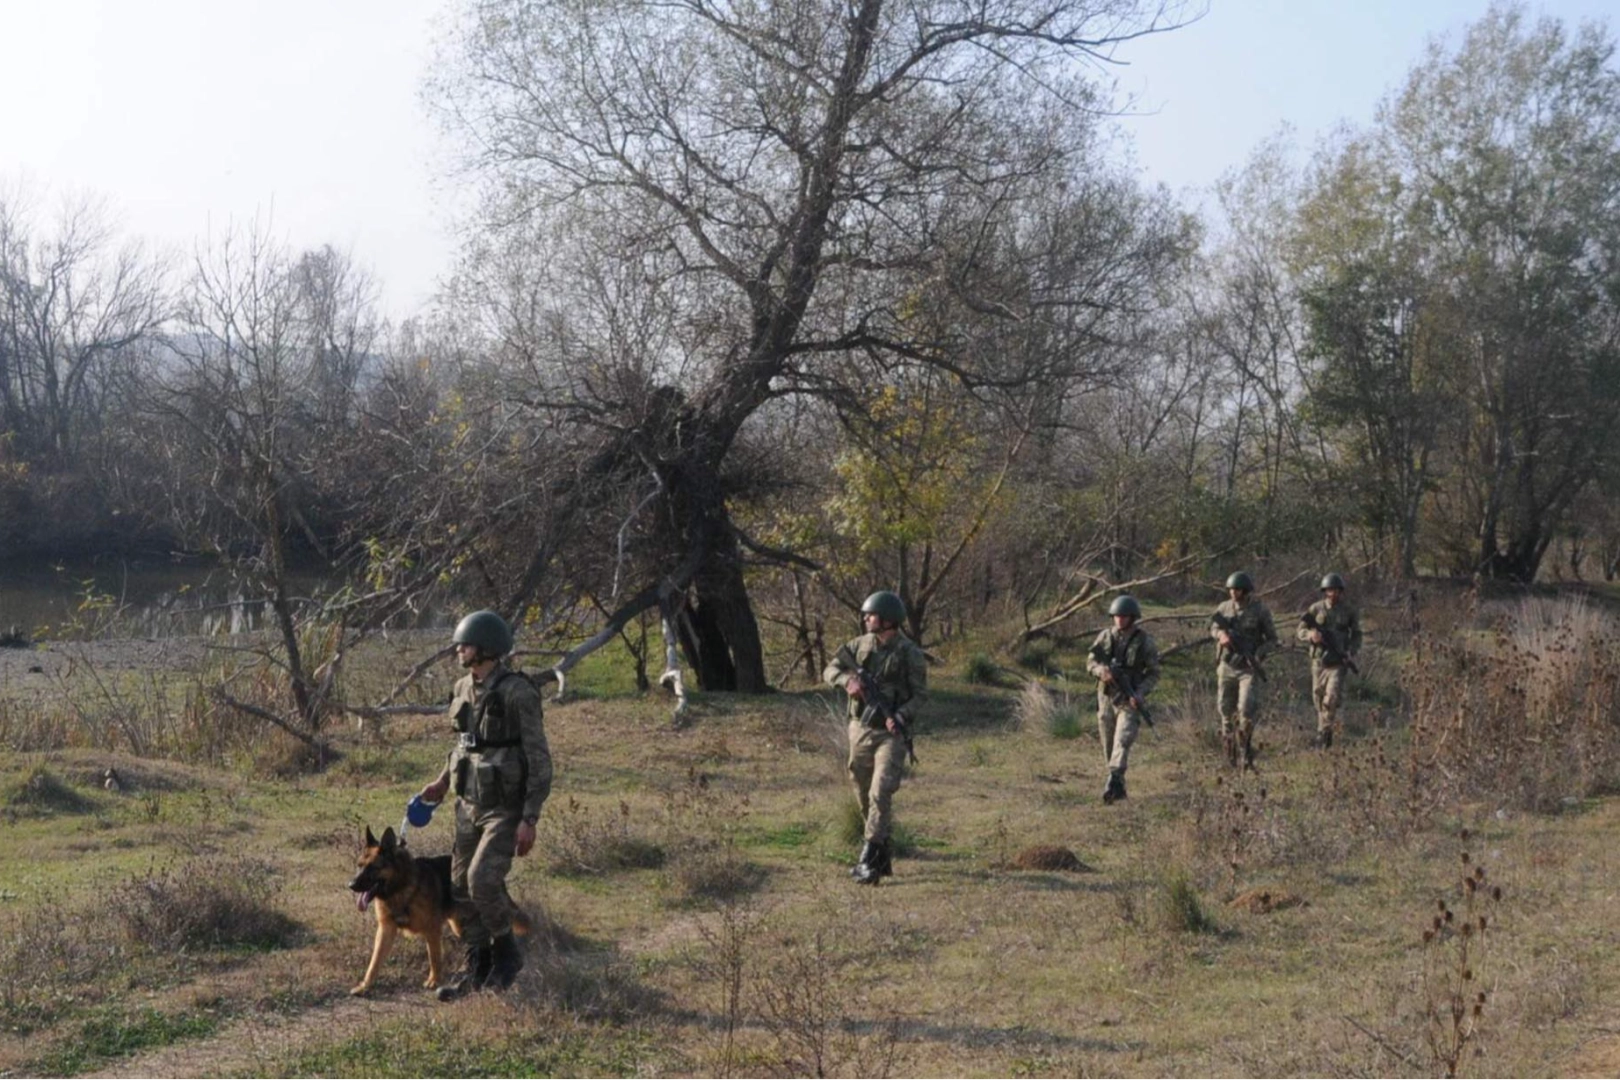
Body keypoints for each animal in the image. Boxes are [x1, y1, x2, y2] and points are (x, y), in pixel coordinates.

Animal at [351, 829, 534, 997]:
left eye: (372, 867)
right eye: (359, 866)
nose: (350, 885)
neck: (400, 887)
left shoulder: (432, 930)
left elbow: (434, 957)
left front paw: (434, 981)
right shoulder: (386, 930)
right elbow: (374, 962)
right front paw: (365, 986)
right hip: (460, 925)